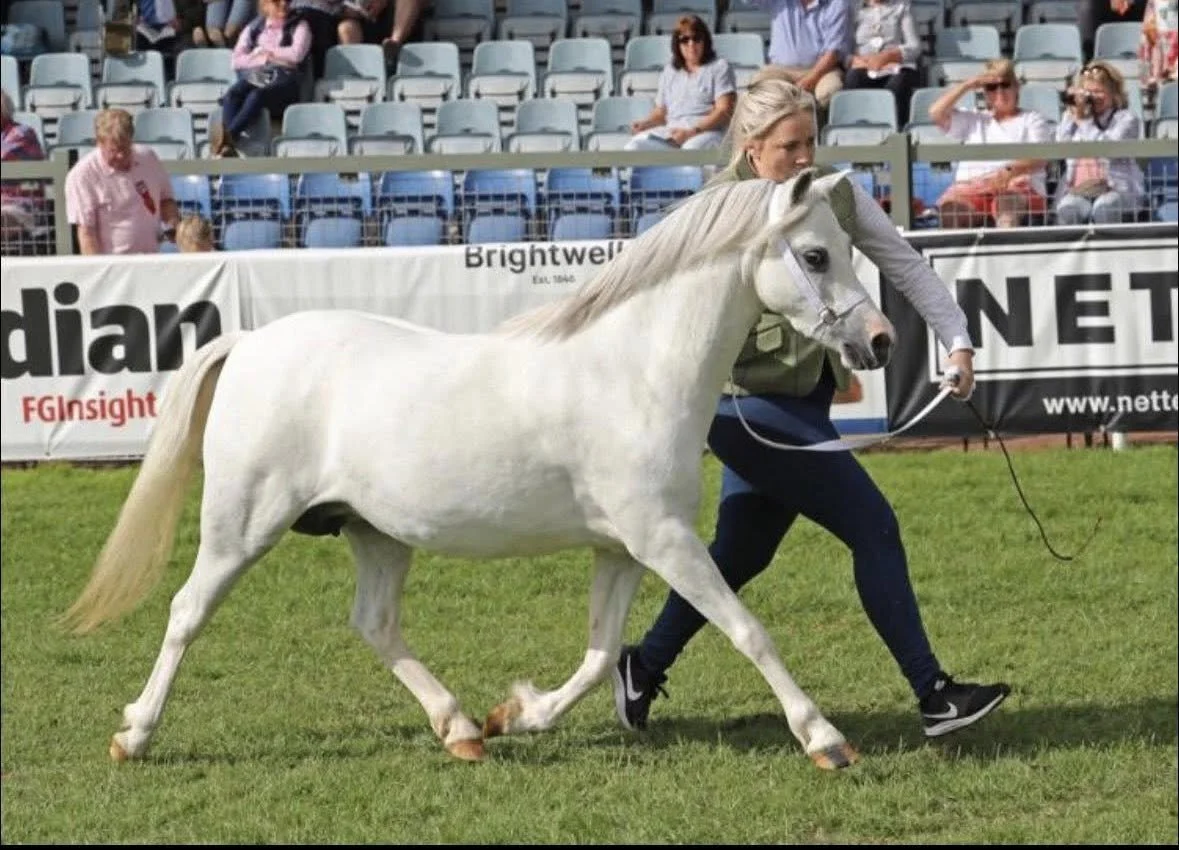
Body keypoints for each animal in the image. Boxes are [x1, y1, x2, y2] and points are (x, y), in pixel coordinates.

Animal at [62, 168, 896, 771]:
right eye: (815, 255)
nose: (881, 340)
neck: (633, 370)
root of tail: (250, 343)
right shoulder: (665, 541)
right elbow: (748, 630)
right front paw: (824, 740)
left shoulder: (623, 548)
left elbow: (601, 653)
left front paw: (517, 715)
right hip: (241, 526)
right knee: (186, 612)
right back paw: (133, 736)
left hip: (374, 533)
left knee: (375, 623)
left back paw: (460, 728)